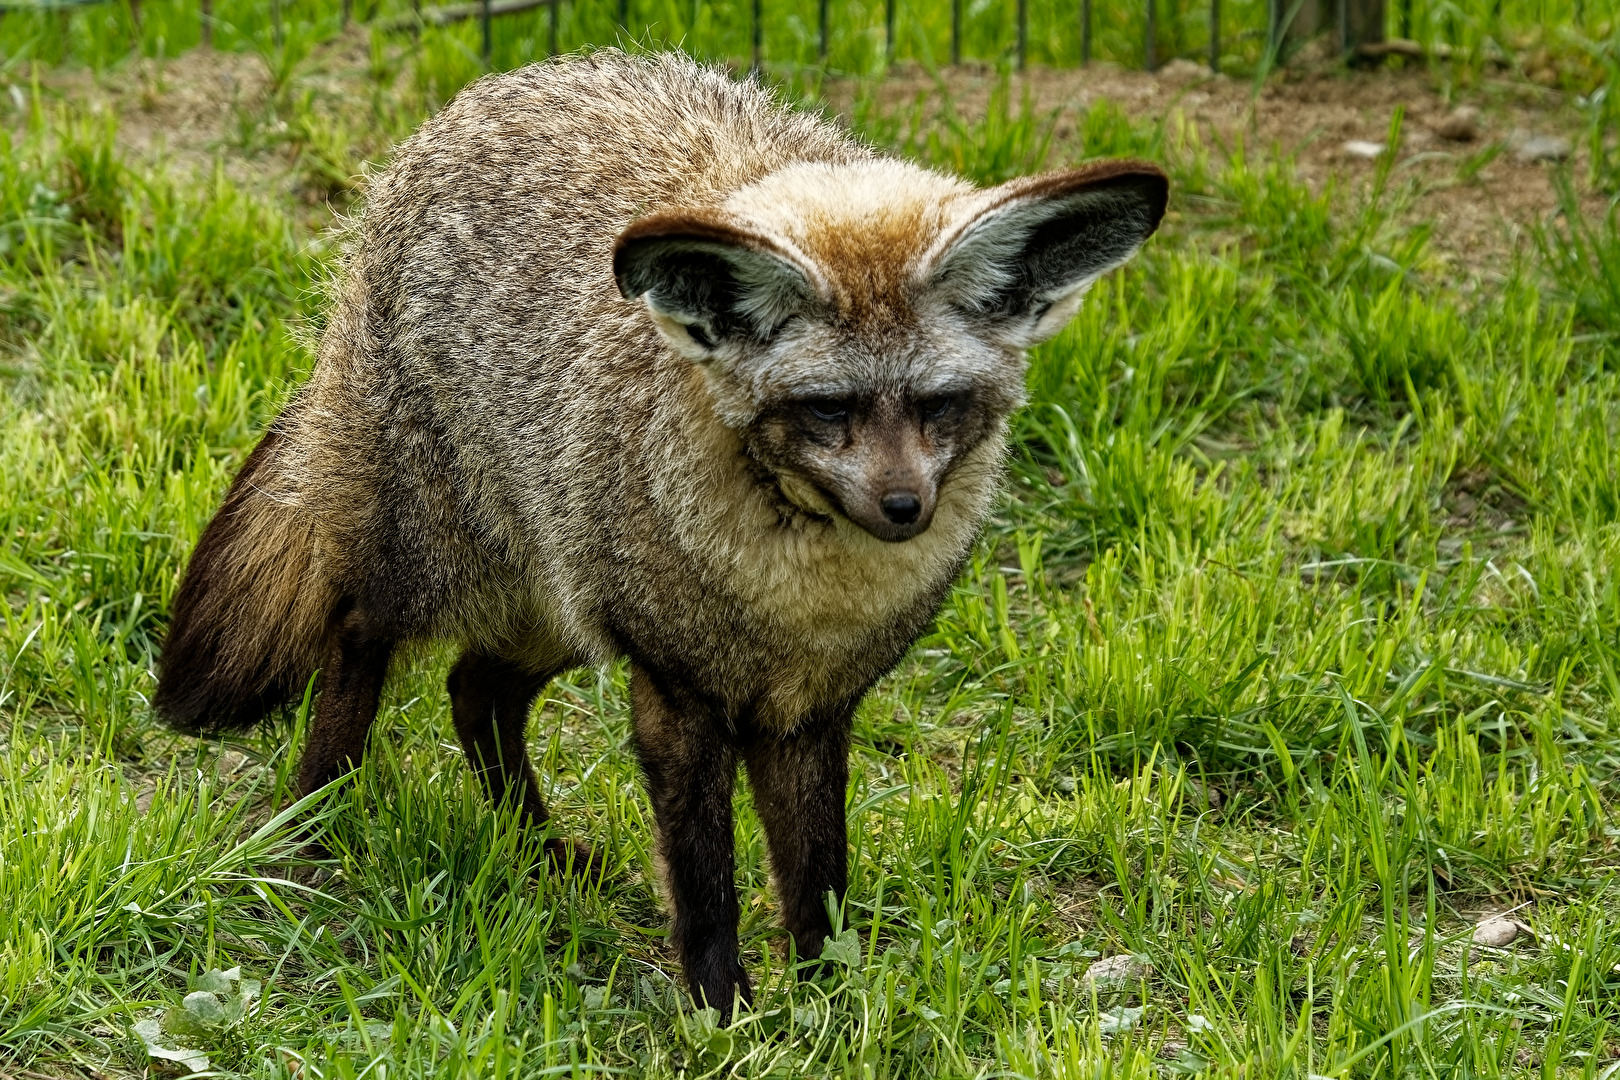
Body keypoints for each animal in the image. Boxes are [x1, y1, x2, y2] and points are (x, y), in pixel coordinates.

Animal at [154, 48, 1166, 1016]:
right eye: (829, 409)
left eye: (940, 405)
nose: (902, 509)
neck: (798, 602)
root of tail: (501, 89)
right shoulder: (679, 696)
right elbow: (707, 886)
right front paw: (723, 1014)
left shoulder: (810, 711)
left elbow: (817, 880)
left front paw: (827, 1006)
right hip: (444, 563)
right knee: (360, 638)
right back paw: (313, 819)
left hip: (562, 602)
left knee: (473, 690)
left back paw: (537, 851)